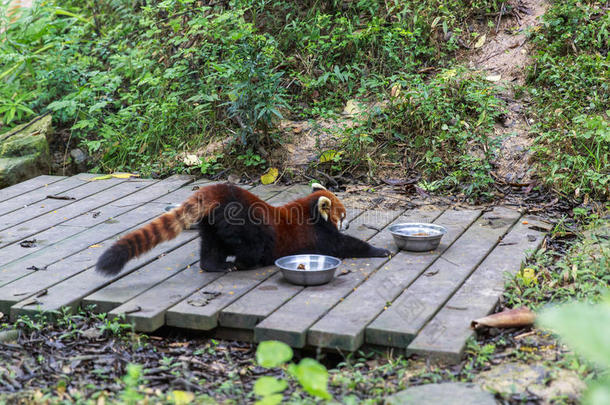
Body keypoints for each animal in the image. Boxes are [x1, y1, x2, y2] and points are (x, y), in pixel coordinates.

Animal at [96, 183, 390, 274]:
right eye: (343, 215)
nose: (348, 222)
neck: (308, 210)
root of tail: (217, 189)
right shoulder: (318, 234)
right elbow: (342, 245)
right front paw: (378, 250)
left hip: (211, 222)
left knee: (210, 246)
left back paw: (214, 265)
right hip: (241, 222)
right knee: (252, 244)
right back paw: (245, 262)